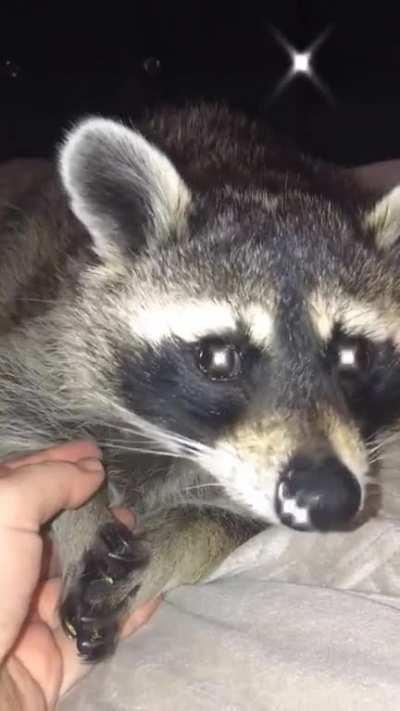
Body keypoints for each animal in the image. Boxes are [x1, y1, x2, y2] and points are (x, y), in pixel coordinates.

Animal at [0, 103, 400, 662]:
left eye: (354, 355)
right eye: (217, 357)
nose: (328, 500)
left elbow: (230, 520)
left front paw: (177, 536)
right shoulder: (48, 344)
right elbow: (28, 428)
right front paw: (82, 514)